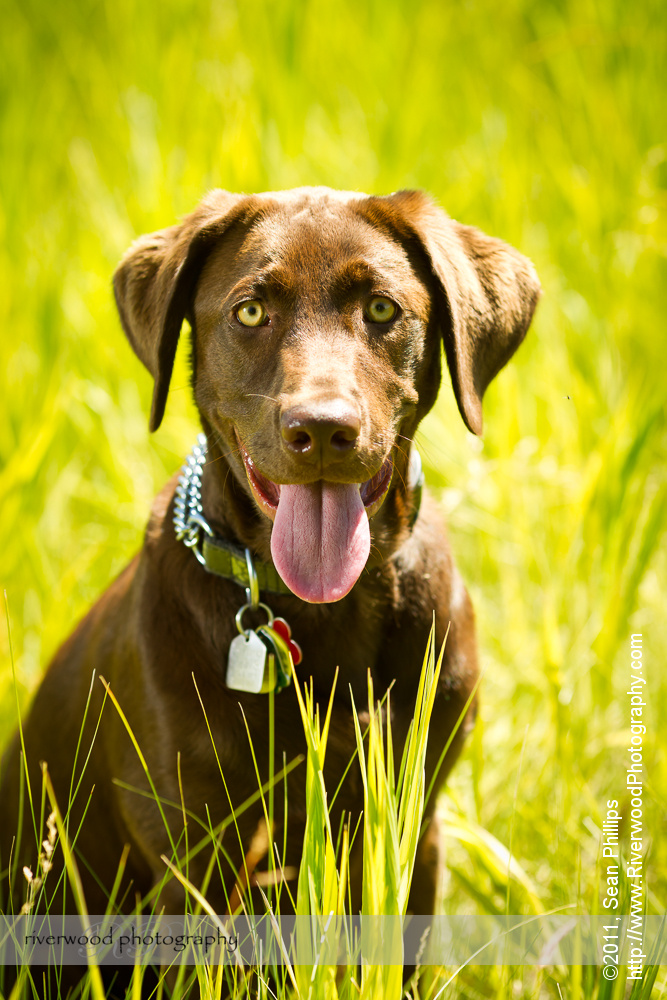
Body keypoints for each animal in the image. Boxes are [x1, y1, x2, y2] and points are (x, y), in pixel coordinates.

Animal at [0, 188, 540, 920]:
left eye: (381, 309)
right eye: (250, 311)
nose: (323, 429)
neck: (330, 610)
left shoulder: (413, 824)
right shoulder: (193, 851)